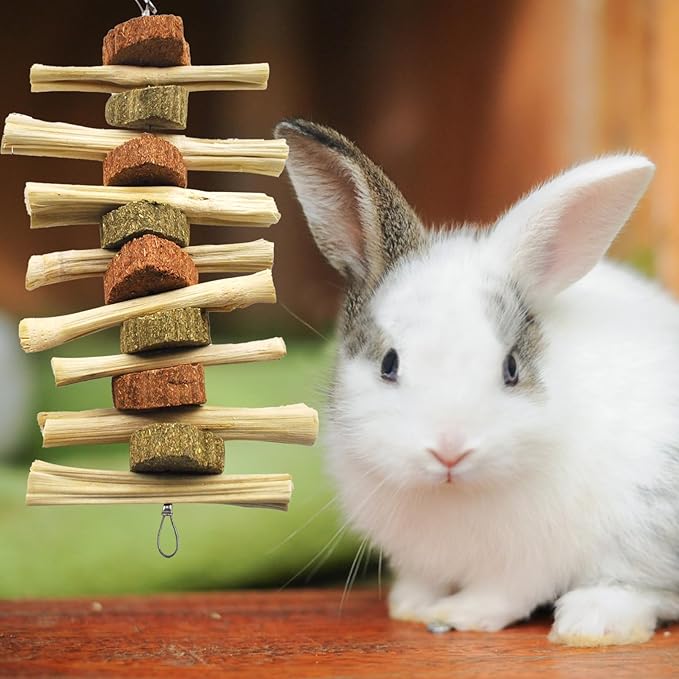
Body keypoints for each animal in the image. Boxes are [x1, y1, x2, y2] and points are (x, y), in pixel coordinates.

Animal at [274, 118, 679, 646]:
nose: (450, 451)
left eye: (511, 369)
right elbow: (423, 580)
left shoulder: (527, 561)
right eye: (389, 363)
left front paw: (461, 614)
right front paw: (409, 607)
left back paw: (591, 623)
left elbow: (503, 594)